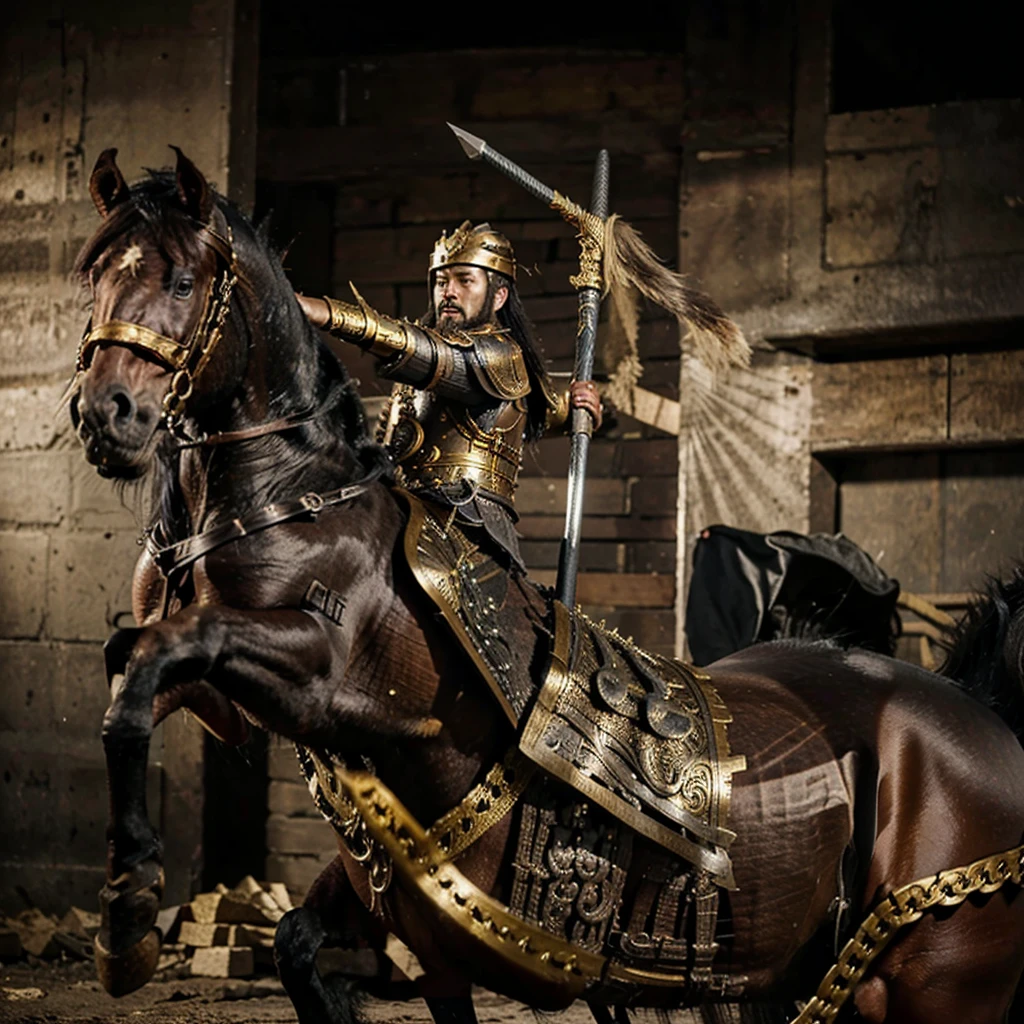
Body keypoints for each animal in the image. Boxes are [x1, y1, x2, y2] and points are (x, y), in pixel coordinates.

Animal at [72, 149, 1024, 1024]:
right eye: (95, 276)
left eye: (184, 279)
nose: (105, 415)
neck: (293, 494)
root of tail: (985, 722)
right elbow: (135, 672)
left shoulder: (319, 667)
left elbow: (161, 657)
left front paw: (129, 921)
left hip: (932, 985)